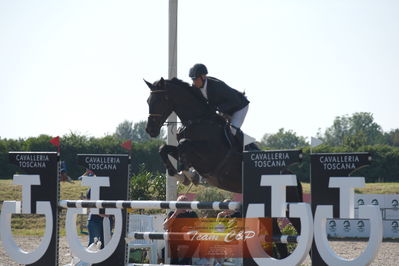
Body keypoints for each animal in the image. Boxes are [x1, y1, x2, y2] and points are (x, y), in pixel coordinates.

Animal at [145, 77, 304, 258]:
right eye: (148, 101)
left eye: (159, 100)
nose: (150, 130)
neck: (198, 121)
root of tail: (291, 175)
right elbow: (164, 148)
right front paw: (181, 175)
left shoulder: (210, 156)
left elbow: (185, 145)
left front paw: (188, 174)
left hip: (288, 206)